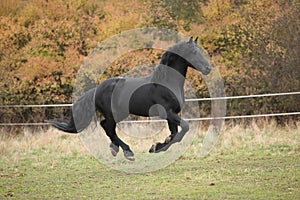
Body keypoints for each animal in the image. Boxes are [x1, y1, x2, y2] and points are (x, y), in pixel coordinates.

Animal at [48, 36, 211, 160]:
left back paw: (116, 148)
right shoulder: (168, 112)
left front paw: (157, 146)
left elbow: (176, 134)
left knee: (107, 128)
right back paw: (127, 152)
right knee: (107, 127)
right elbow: (184, 128)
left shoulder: (172, 114)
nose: (208, 69)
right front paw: (156, 147)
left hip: (120, 113)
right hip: (114, 114)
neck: (167, 83)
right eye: (194, 52)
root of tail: (97, 89)